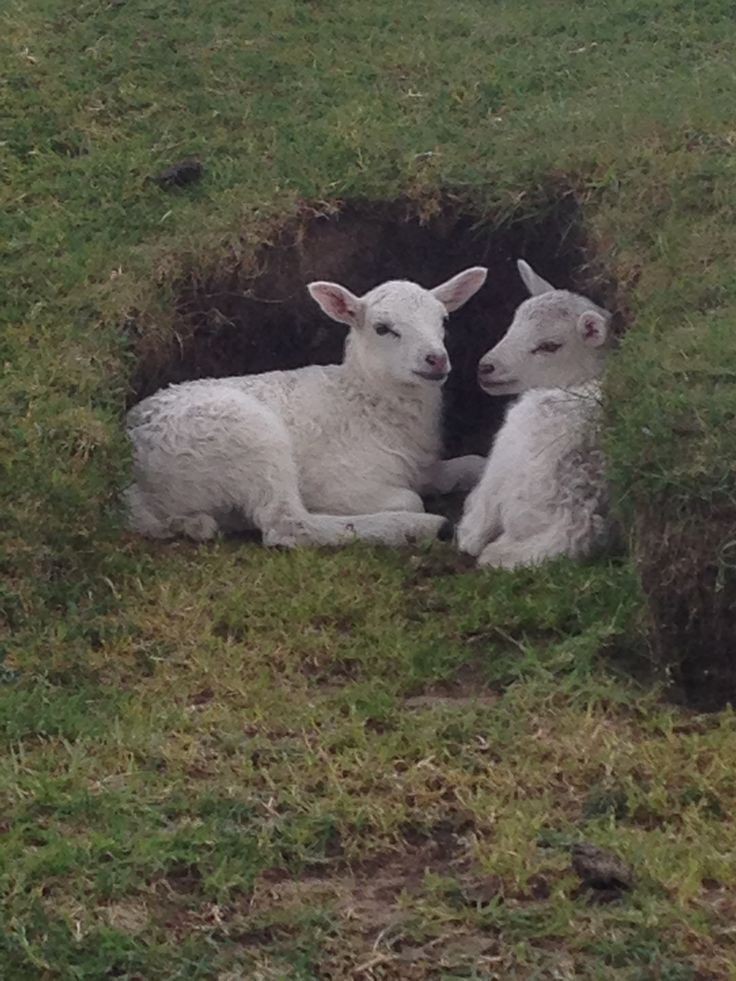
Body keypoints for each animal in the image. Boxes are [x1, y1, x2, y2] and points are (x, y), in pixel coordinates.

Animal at [125, 264, 488, 548]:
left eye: (443, 320)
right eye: (382, 329)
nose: (436, 359)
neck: (363, 400)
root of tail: (135, 488)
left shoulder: (421, 466)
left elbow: (473, 463)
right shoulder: (335, 480)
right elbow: (410, 498)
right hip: (247, 438)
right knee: (286, 524)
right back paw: (418, 529)